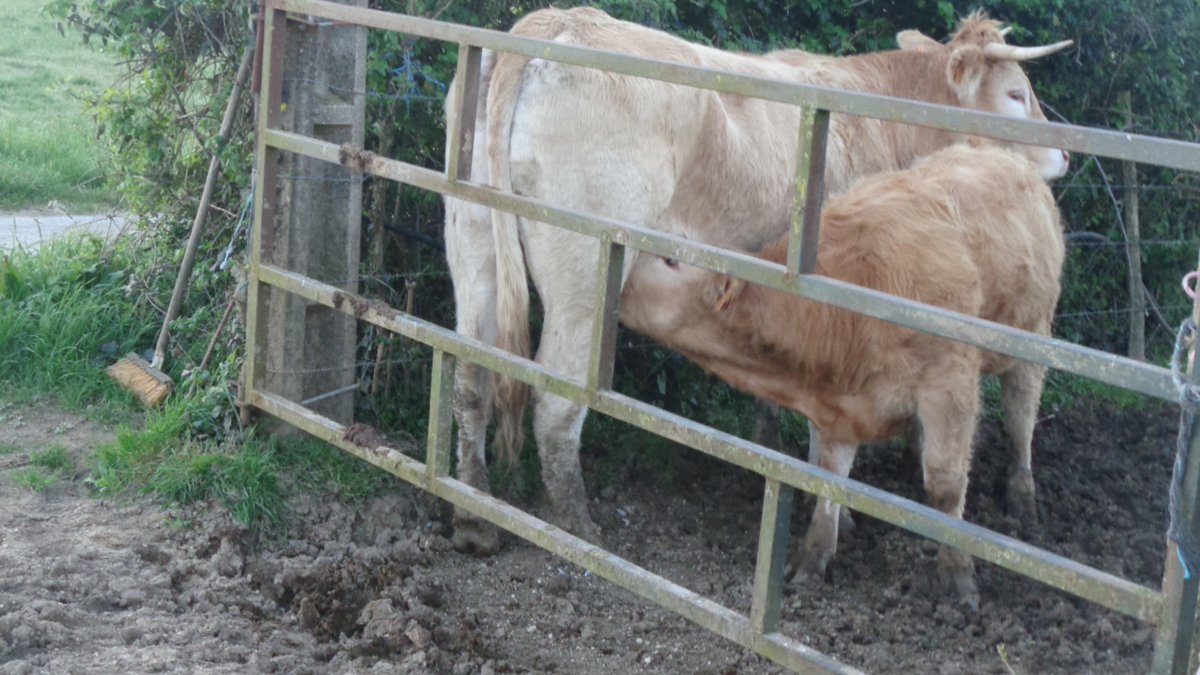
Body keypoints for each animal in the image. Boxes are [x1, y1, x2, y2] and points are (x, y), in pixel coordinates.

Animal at [443, 7, 1073, 554]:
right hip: (583, 277)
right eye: (1016, 95)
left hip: (473, 243)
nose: (1066, 156)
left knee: (471, 373)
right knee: (556, 398)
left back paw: (474, 517)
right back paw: (575, 528)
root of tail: (559, 20)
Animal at [617, 143, 1066, 607]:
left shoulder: (950, 383)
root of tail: (994, 151)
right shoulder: (840, 405)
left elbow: (945, 484)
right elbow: (828, 475)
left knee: (1020, 418)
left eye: (669, 259)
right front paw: (813, 558)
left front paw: (958, 578)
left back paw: (1022, 498)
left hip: (1036, 334)